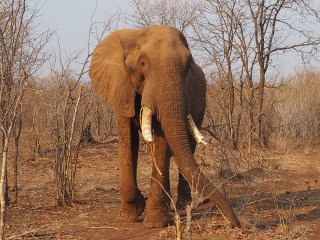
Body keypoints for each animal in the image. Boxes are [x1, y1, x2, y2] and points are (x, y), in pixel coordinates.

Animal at [89, 25, 240, 228]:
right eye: (142, 63)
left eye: (188, 65)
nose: (235, 224)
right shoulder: (122, 89)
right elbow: (128, 139)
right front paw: (133, 211)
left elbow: (161, 142)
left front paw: (155, 222)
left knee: (188, 145)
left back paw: (183, 205)